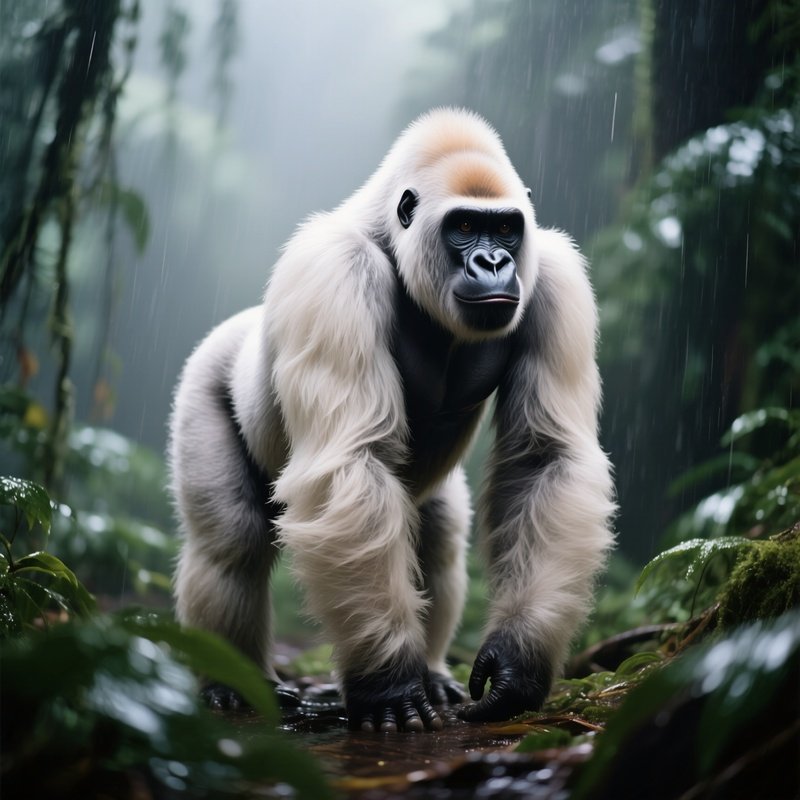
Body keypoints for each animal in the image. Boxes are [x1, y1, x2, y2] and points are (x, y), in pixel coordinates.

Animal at [169, 108, 615, 732]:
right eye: (463, 226)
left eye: (505, 230)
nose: (493, 262)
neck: (390, 236)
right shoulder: (334, 271)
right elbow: (350, 462)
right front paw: (387, 685)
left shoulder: (555, 275)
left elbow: (545, 457)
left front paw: (518, 662)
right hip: (204, 375)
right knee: (232, 541)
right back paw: (231, 681)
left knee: (437, 534)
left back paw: (431, 669)